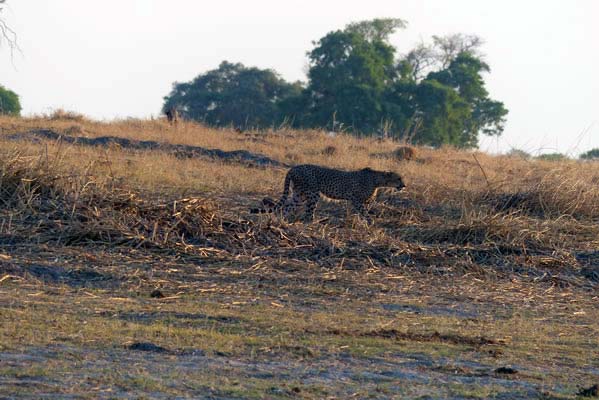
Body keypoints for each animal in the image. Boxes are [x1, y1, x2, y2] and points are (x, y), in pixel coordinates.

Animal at [251, 164, 406, 223]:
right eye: (398, 178)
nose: (404, 185)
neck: (377, 180)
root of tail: (294, 167)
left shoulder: (365, 202)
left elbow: (364, 212)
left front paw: (364, 223)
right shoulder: (355, 199)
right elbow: (364, 212)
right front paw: (369, 222)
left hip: (299, 195)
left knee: (286, 207)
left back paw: (279, 221)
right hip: (313, 193)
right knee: (308, 214)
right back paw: (313, 222)